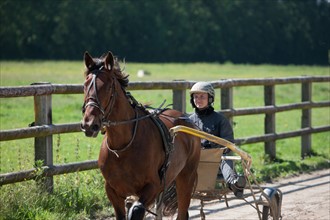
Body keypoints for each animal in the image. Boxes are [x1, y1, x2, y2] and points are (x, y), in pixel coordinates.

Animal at [81, 50, 200, 219]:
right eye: (85, 86)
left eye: (108, 87)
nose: (89, 124)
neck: (122, 147)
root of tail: (186, 119)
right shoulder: (112, 190)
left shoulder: (153, 186)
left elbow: (136, 210)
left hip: (186, 177)